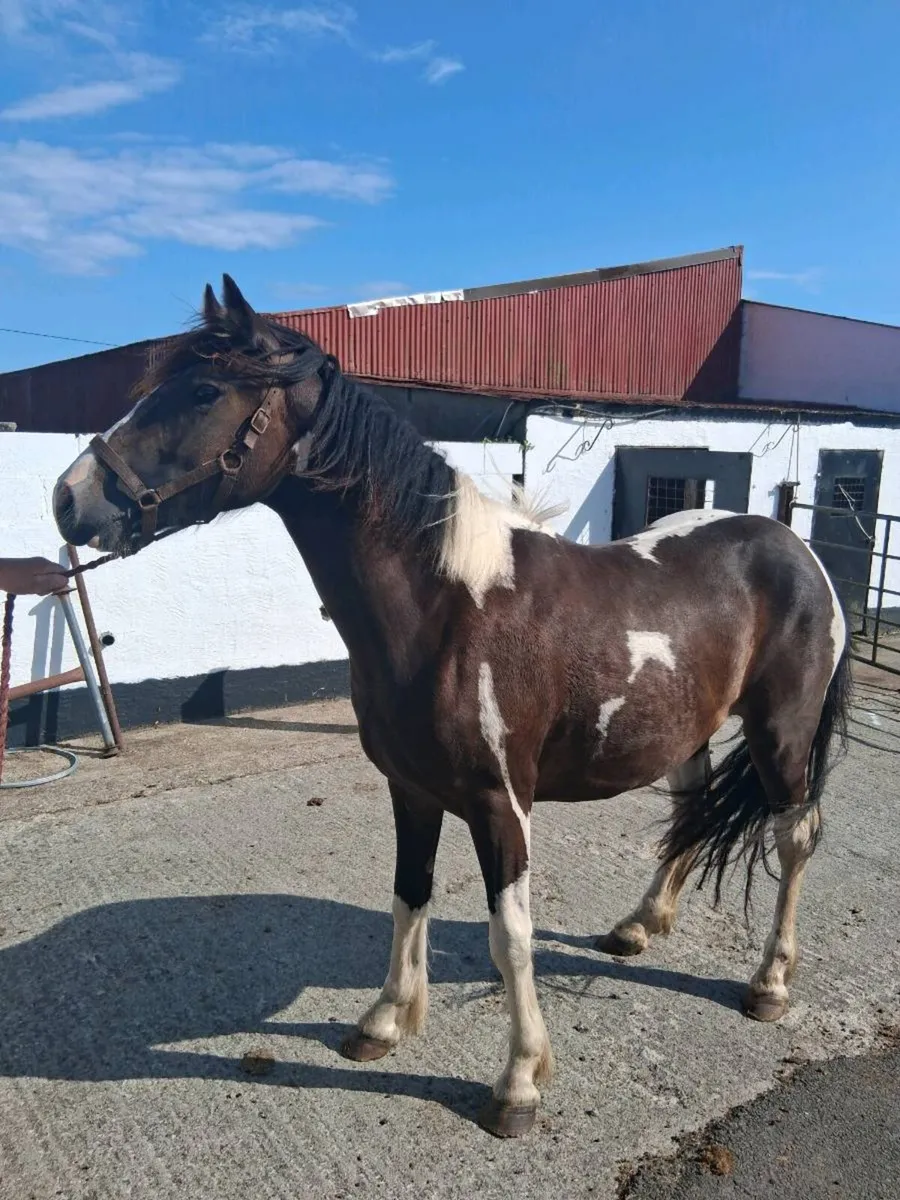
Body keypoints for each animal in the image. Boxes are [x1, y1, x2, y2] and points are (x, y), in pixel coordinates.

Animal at [53, 275, 851, 1138]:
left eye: (203, 391)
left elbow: (511, 939)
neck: (447, 609)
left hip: (781, 736)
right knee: (692, 812)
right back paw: (639, 926)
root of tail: (794, 546)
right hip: (686, 736)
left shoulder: (501, 805)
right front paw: (382, 1022)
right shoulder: (411, 790)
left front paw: (519, 1083)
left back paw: (769, 983)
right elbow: (409, 896)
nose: (68, 499)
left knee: (795, 838)